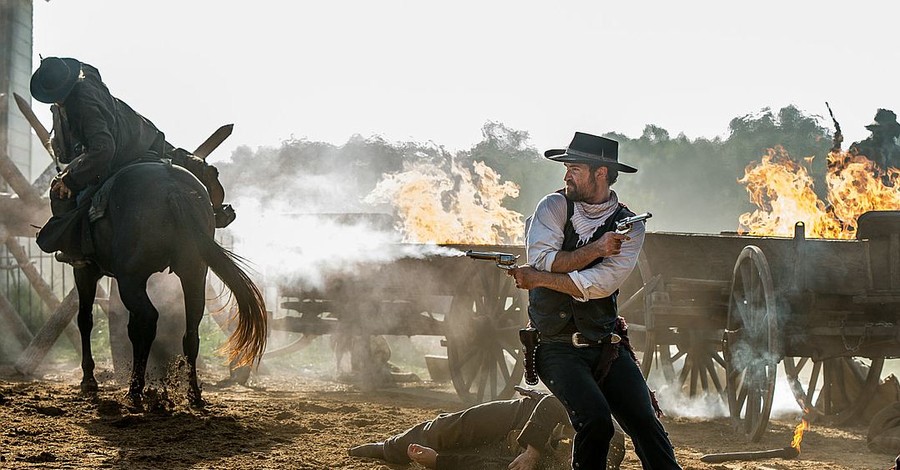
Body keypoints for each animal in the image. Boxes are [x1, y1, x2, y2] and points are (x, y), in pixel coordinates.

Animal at [70, 160, 268, 406]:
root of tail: (173, 189)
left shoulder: (85, 272)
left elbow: (85, 321)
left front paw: (88, 380)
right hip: (192, 273)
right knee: (190, 331)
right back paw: (193, 393)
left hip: (130, 280)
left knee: (147, 320)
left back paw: (135, 389)